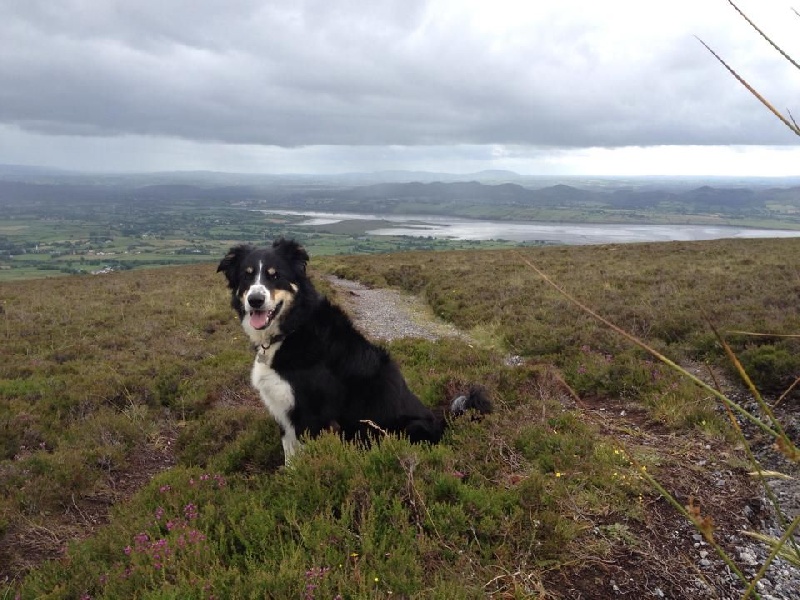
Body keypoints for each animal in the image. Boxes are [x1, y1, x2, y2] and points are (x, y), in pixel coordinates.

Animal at [216, 239, 490, 464]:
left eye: (275, 276)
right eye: (247, 277)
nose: (255, 300)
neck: (293, 328)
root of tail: (442, 425)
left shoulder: (311, 415)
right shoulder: (283, 411)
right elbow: (289, 457)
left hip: (404, 428)